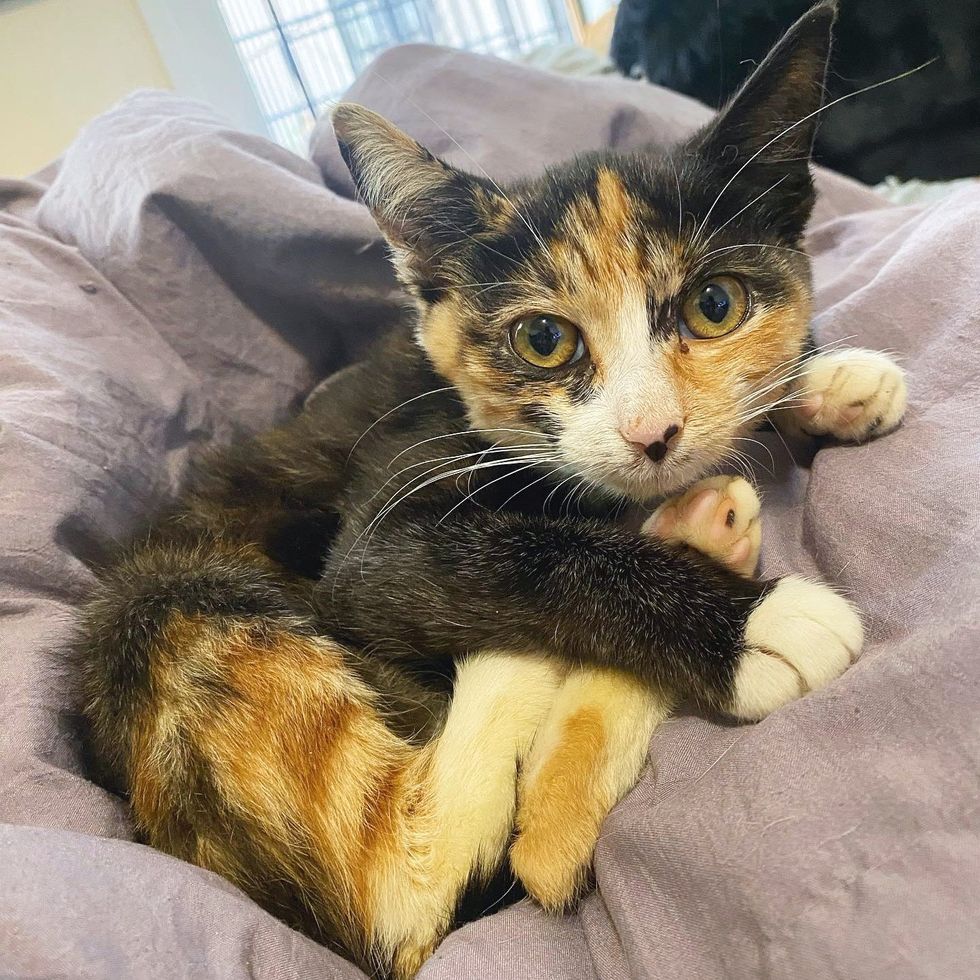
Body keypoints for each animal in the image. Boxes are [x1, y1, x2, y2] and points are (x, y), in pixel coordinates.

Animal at [74, 3, 904, 976]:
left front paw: (826, 379)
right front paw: (751, 624)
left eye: (715, 307)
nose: (652, 433)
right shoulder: (387, 511)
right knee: (400, 898)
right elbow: (522, 554)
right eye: (543, 341)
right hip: (166, 608)